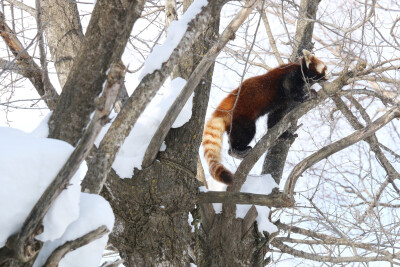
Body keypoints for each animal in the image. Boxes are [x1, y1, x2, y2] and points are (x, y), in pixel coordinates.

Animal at [202, 49, 330, 185]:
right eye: (325, 67)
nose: (331, 73)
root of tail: (223, 108)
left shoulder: (283, 103)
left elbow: (275, 117)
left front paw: (283, 135)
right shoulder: (292, 75)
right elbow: (288, 86)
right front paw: (308, 95)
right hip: (241, 117)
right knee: (245, 133)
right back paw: (237, 151)